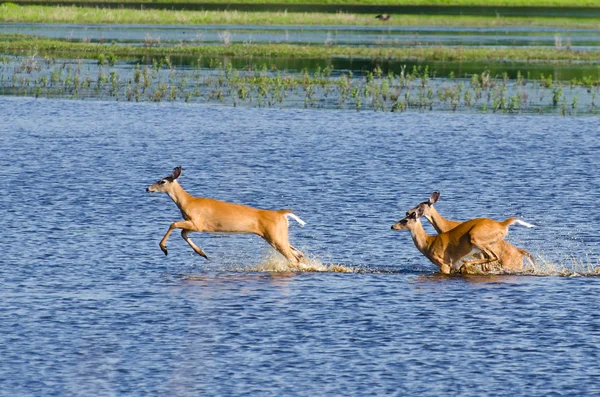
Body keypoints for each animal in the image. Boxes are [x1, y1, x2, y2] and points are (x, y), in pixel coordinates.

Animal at [144, 166, 304, 264]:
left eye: (162, 181)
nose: (147, 188)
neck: (188, 202)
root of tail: (281, 213)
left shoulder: (197, 223)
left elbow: (173, 224)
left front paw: (164, 248)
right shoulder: (194, 225)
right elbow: (183, 233)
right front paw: (202, 253)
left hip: (274, 236)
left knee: (293, 258)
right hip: (275, 236)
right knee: (298, 253)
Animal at [392, 203, 536, 274]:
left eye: (405, 220)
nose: (392, 226)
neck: (428, 242)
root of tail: (503, 224)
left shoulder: (444, 264)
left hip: (477, 240)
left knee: (493, 257)